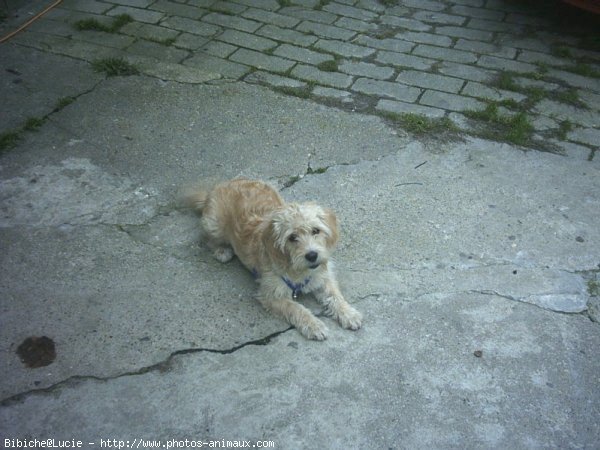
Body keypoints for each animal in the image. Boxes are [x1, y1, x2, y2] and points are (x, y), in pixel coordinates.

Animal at [188, 178, 364, 340]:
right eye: (292, 237)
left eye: (316, 230)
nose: (312, 255)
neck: (297, 269)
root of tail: (219, 186)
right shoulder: (271, 295)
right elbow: (296, 309)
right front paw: (314, 324)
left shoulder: (323, 277)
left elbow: (335, 296)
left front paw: (348, 313)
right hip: (213, 224)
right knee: (206, 237)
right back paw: (221, 250)